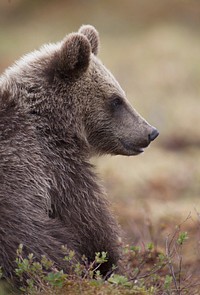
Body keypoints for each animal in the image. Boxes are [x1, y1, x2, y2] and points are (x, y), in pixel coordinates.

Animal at [0, 24, 159, 284]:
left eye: (121, 95)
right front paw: (107, 262)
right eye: (116, 100)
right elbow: (90, 221)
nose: (151, 132)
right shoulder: (51, 164)